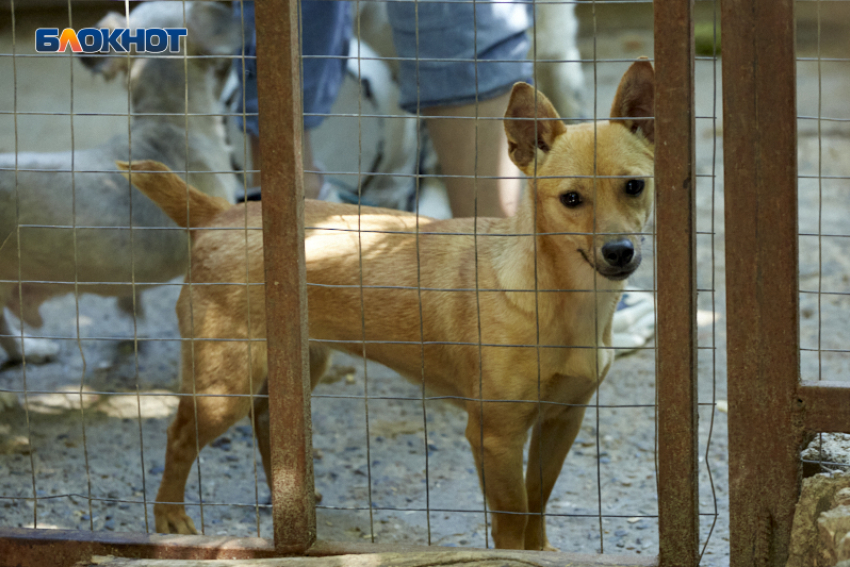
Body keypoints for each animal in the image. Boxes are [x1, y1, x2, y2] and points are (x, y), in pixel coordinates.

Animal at [119, 61, 652, 552]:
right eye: (570, 199)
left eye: (635, 186)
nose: (619, 252)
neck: (565, 301)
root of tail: (218, 215)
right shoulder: (496, 436)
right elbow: (512, 521)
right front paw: (518, 556)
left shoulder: (562, 419)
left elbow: (537, 503)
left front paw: (540, 552)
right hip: (222, 387)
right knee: (179, 437)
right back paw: (169, 518)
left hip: (297, 366)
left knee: (268, 423)